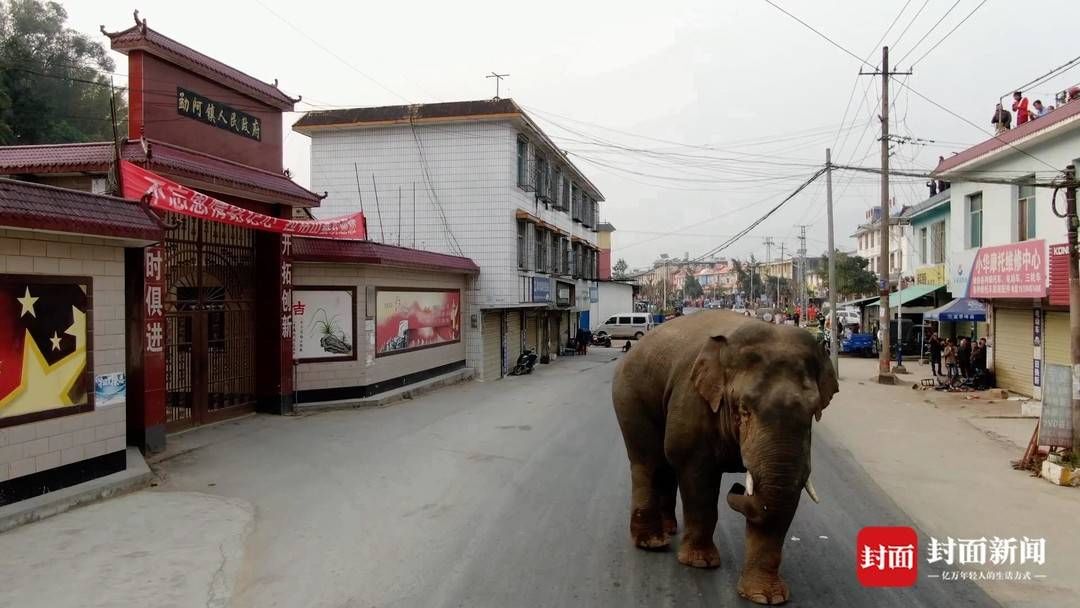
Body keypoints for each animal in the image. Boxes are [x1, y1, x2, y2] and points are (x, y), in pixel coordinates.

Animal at [613, 311, 838, 604]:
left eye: (813, 411)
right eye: (744, 410)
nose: (738, 486)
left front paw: (766, 597)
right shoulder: (692, 399)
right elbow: (697, 475)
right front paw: (700, 563)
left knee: (664, 465)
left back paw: (669, 529)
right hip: (630, 395)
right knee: (648, 462)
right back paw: (653, 542)